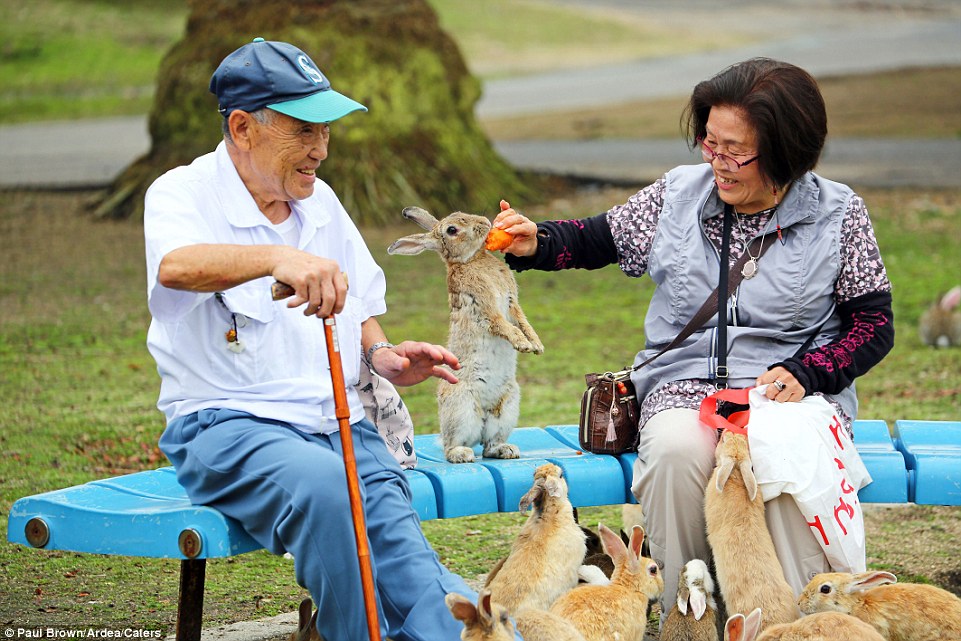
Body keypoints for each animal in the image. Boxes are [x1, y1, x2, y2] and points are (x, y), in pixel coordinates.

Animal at [388, 208, 540, 462]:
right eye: (452, 230)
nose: (485, 222)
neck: (471, 259)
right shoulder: (485, 307)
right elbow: (504, 325)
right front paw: (522, 344)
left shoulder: (511, 302)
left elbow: (522, 321)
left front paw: (536, 345)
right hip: (462, 408)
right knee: (453, 445)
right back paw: (462, 454)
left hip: (507, 406)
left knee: (489, 445)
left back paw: (506, 449)